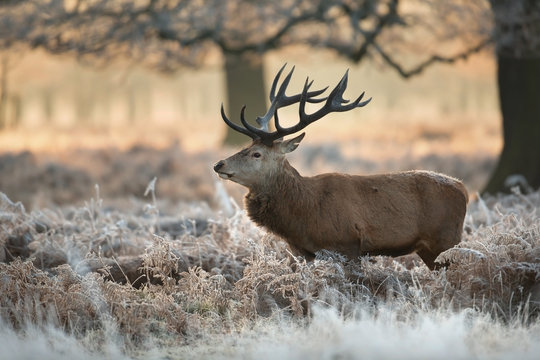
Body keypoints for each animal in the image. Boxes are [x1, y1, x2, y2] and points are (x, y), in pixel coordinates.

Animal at [213, 64, 466, 268]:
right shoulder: (304, 252)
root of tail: (463, 188)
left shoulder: (347, 244)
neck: (304, 214)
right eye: (245, 146)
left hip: (445, 241)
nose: (218, 164)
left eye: (257, 154)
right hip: (430, 249)